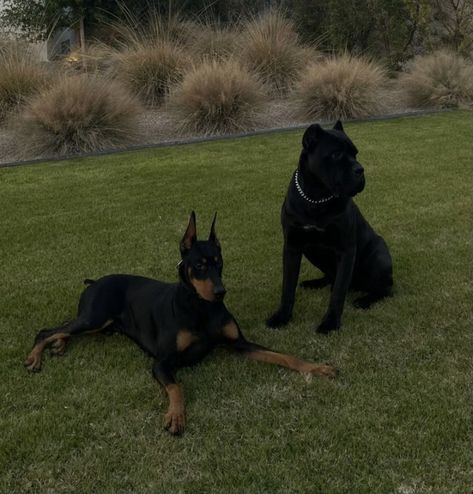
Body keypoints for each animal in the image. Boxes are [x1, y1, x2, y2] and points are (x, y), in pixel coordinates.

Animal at [266, 121, 390, 334]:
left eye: (355, 153)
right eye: (336, 154)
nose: (360, 169)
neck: (317, 196)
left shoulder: (346, 250)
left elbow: (339, 292)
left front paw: (330, 323)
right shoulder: (292, 247)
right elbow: (287, 287)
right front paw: (282, 317)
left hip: (380, 256)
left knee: (384, 289)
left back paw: (365, 300)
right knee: (331, 277)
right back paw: (314, 283)